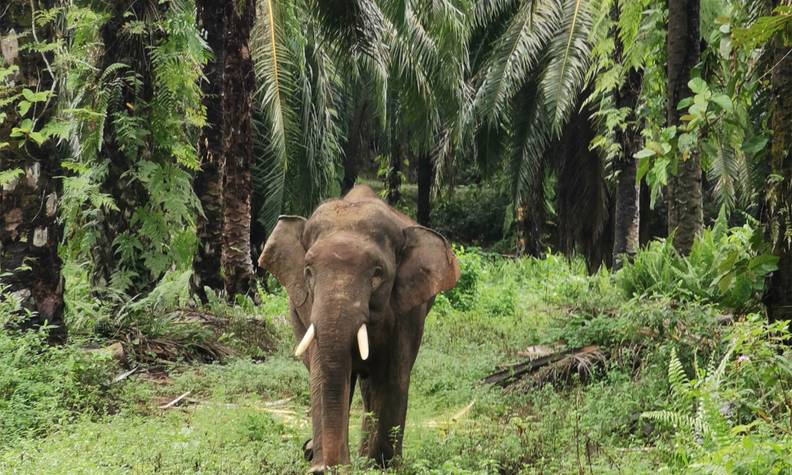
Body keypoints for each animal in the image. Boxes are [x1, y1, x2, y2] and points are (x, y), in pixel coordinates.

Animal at [256, 184, 460, 470]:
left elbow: (394, 374)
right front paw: (326, 466)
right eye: (308, 271)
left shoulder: (408, 312)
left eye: (377, 273)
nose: (326, 466)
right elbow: (320, 373)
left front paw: (382, 465)